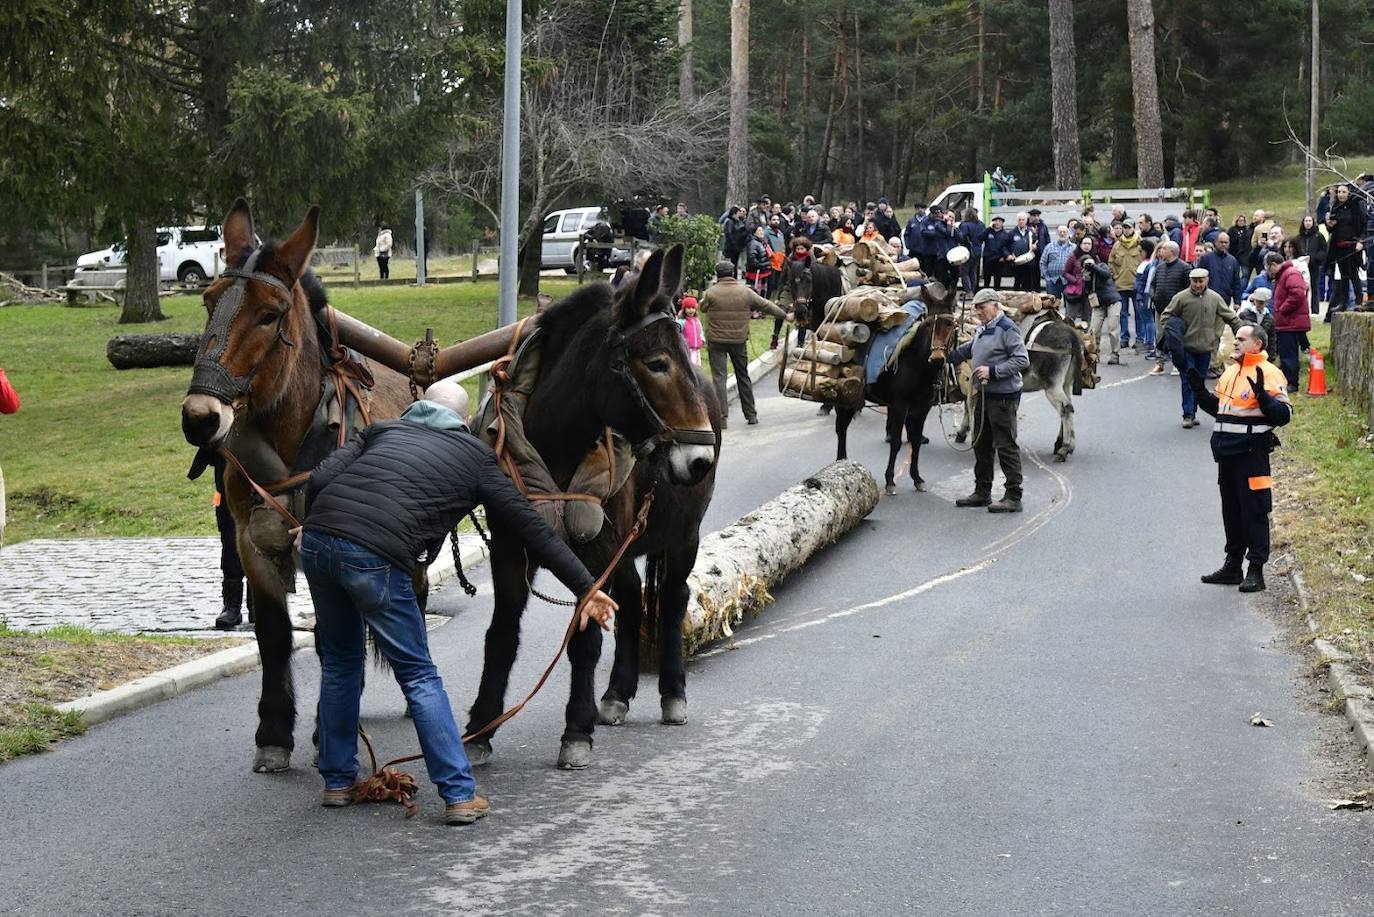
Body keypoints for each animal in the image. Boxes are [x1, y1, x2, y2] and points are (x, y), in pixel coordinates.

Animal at [182, 200, 719, 775]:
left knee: (674, 598)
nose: (200, 417)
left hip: (681, 537)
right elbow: (279, 638)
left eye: (269, 314)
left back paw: (669, 694)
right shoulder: (254, 545)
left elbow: (584, 634)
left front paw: (575, 732)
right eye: (209, 303)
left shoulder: (593, 548)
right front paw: (278, 734)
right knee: (633, 596)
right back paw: (616, 696)